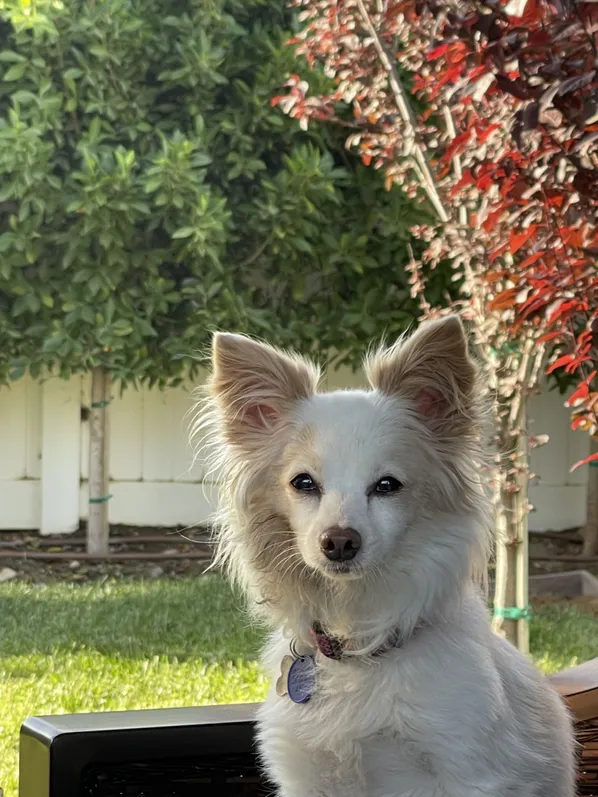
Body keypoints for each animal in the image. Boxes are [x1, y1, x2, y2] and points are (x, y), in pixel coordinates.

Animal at [199, 318, 580, 796]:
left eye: (387, 486)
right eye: (303, 483)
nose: (339, 541)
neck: (360, 640)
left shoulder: (466, 769)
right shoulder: (306, 777)